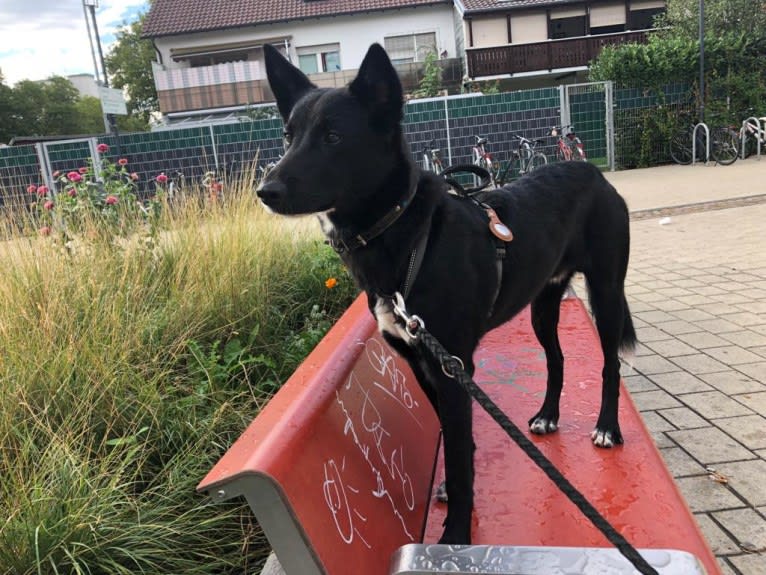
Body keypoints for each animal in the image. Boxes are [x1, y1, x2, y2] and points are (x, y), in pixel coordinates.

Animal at [258, 42, 636, 548]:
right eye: (288, 136)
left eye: (333, 136)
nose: (265, 191)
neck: (406, 238)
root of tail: (594, 172)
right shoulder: (422, 363)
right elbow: (454, 438)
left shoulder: (454, 366)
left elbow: (457, 456)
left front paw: (456, 531)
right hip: (542, 304)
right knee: (556, 358)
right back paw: (547, 414)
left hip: (607, 293)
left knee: (611, 362)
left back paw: (607, 427)